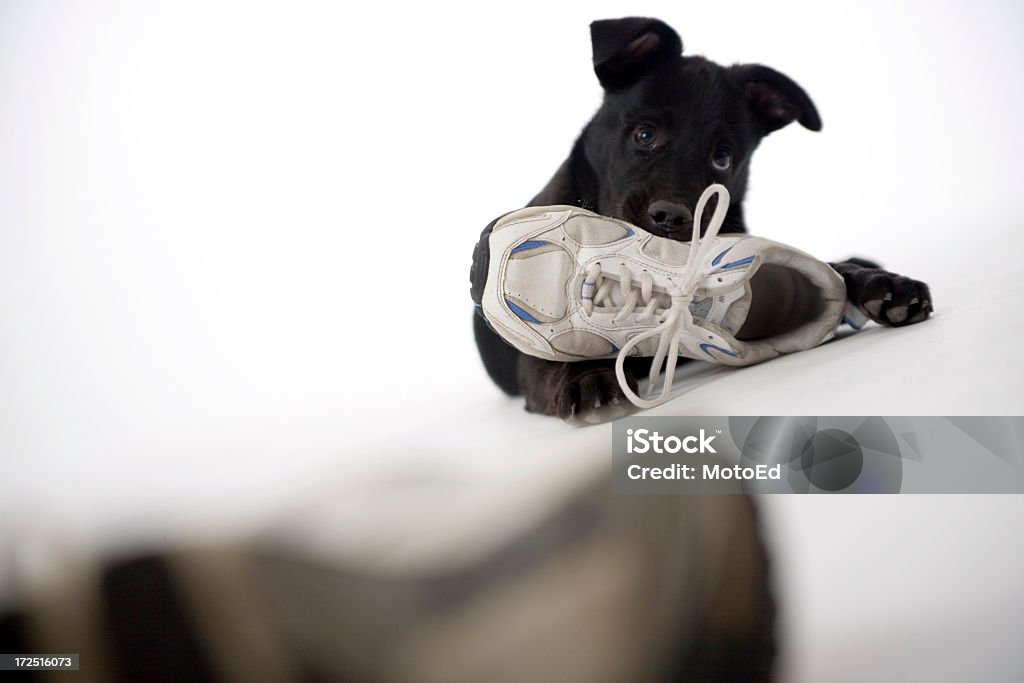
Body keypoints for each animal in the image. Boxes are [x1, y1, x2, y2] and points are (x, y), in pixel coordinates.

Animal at [475, 17, 933, 417]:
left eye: (722, 158)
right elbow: (551, 356)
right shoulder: (529, 360)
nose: (670, 217)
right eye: (645, 134)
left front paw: (883, 284)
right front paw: (583, 377)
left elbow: (833, 268)